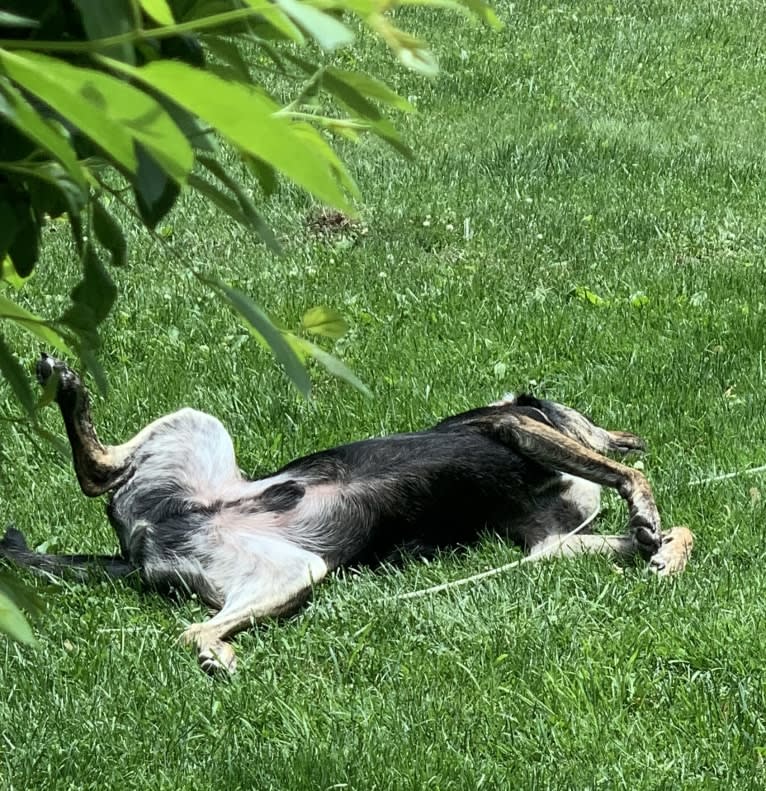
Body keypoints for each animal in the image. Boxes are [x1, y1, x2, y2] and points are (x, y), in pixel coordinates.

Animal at [0, 356, 696, 672]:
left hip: (286, 571)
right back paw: (67, 387)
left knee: (188, 612)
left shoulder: (546, 544)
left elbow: (670, 530)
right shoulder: (514, 426)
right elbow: (627, 477)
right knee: (97, 476)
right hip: (203, 435)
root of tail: (139, 544)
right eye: (584, 412)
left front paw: (665, 551)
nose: (631, 435)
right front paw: (642, 498)